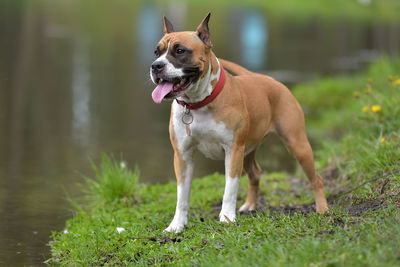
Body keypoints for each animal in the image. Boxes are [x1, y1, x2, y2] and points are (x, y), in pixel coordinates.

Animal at [150, 13, 328, 233]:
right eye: (156, 52)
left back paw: (323, 209)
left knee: (316, 179)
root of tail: (266, 79)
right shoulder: (183, 155)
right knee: (255, 174)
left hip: (297, 145)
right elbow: (182, 194)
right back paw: (250, 205)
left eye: (180, 50)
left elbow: (230, 188)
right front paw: (176, 225)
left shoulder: (233, 150)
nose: (156, 66)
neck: (199, 103)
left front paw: (226, 217)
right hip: (249, 151)